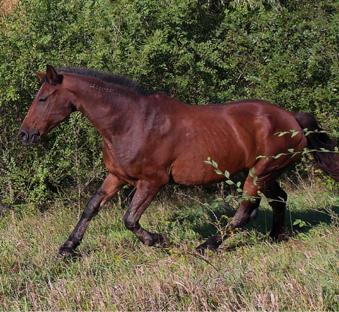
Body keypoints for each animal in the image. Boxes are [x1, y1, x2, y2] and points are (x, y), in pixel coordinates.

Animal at [19, 64, 338, 256]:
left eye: (43, 99)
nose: (24, 134)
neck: (130, 122)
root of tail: (293, 120)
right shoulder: (117, 176)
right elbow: (91, 207)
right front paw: (67, 247)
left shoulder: (152, 181)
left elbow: (130, 218)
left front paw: (158, 240)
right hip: (266, 173)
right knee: (279, 199)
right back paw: (275, 236)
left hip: (259, 173)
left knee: (245, 212)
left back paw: (205, 246)